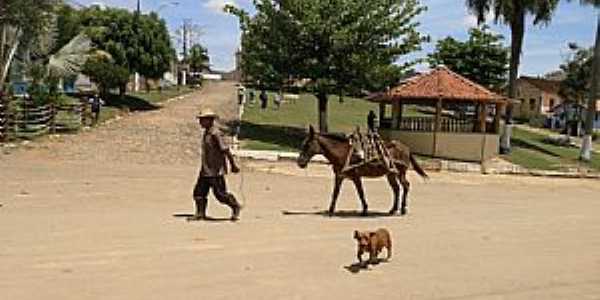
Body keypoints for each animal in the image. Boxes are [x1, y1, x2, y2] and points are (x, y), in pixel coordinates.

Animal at [296, 125, 426, 217]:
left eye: (307, 145)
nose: (300, 162)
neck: (343, 153)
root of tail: (406, 148)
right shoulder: (339, 176)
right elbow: (335, 193)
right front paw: (331, 210)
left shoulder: (356, 177)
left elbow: (361, 193)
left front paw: (365, 210)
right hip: (391, 174)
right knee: (396, 189)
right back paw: (393, 209)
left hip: (400, 173)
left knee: (406, 186)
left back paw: (403, 209)